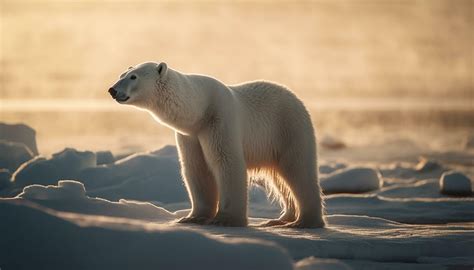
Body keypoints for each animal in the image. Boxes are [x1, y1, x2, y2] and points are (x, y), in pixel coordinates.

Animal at [109, 61, 324, 228]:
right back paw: (281, 219)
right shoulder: (190, 135)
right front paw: (192, 217)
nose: (112, 90)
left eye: (133, 77)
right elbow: (197, 169)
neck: (200, 109)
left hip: (288, 128)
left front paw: (226, 219)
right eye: (122, 74)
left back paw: (305, 222)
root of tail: (296, 98)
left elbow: (226, 162)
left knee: (298, 170)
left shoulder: (219, 120)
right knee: (281, 179)